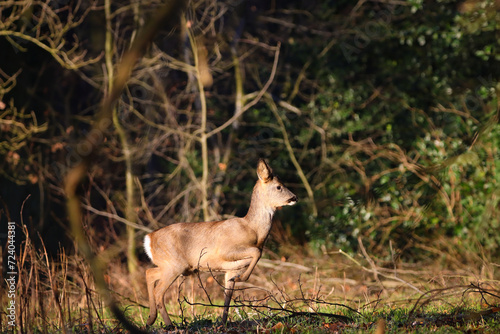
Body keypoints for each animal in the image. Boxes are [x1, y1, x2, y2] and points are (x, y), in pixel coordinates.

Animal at [143, 159, 296, 326]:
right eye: (279, 186)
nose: (294, 197)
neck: (253, 230)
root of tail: (149, 238)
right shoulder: (225, 250)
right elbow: (257, 252)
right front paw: (242, 279)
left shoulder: (232, 269)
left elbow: (227, 297)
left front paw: (223, 322)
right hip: (174, 264)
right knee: (158, 291)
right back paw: (169, 324)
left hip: (169, 265)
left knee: (149, 273)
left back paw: (150, 318)